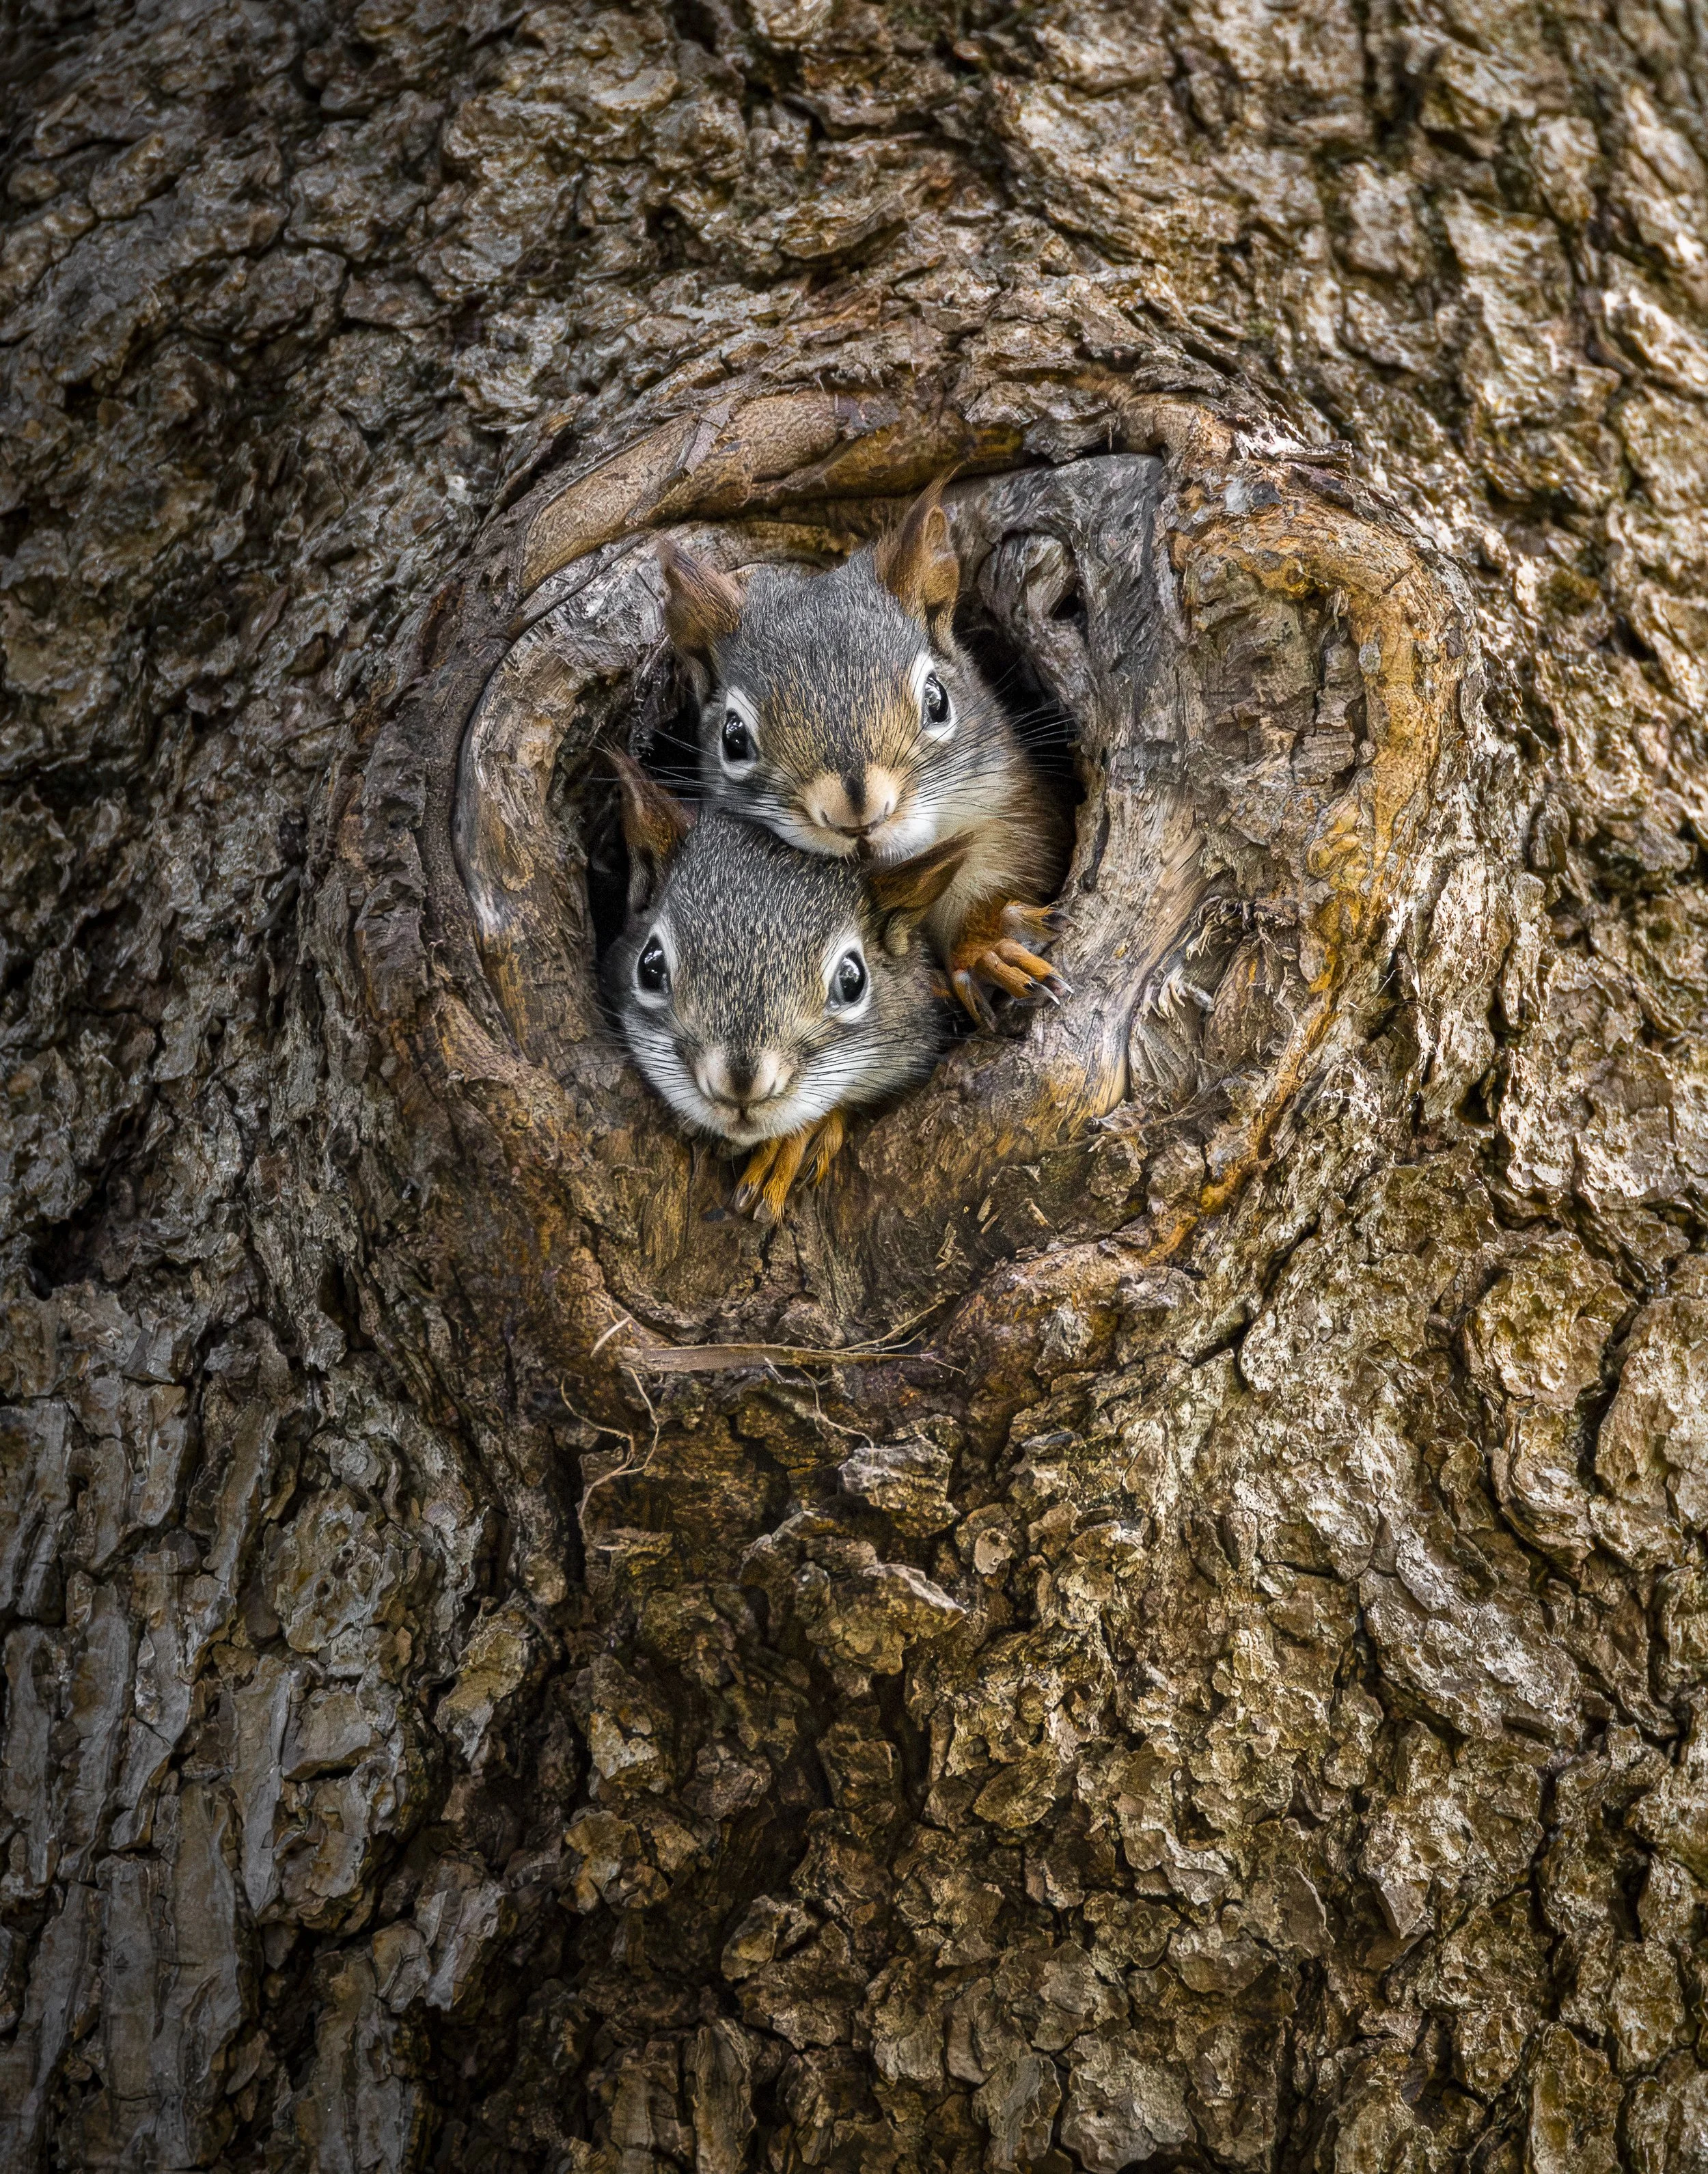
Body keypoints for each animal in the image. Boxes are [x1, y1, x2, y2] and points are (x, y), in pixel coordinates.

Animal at [656, 480, 1070, 1030]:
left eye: (937, 700)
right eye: (734, 737)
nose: (857, 815)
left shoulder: (1011, 808)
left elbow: (1007, 872)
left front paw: (989, 949)